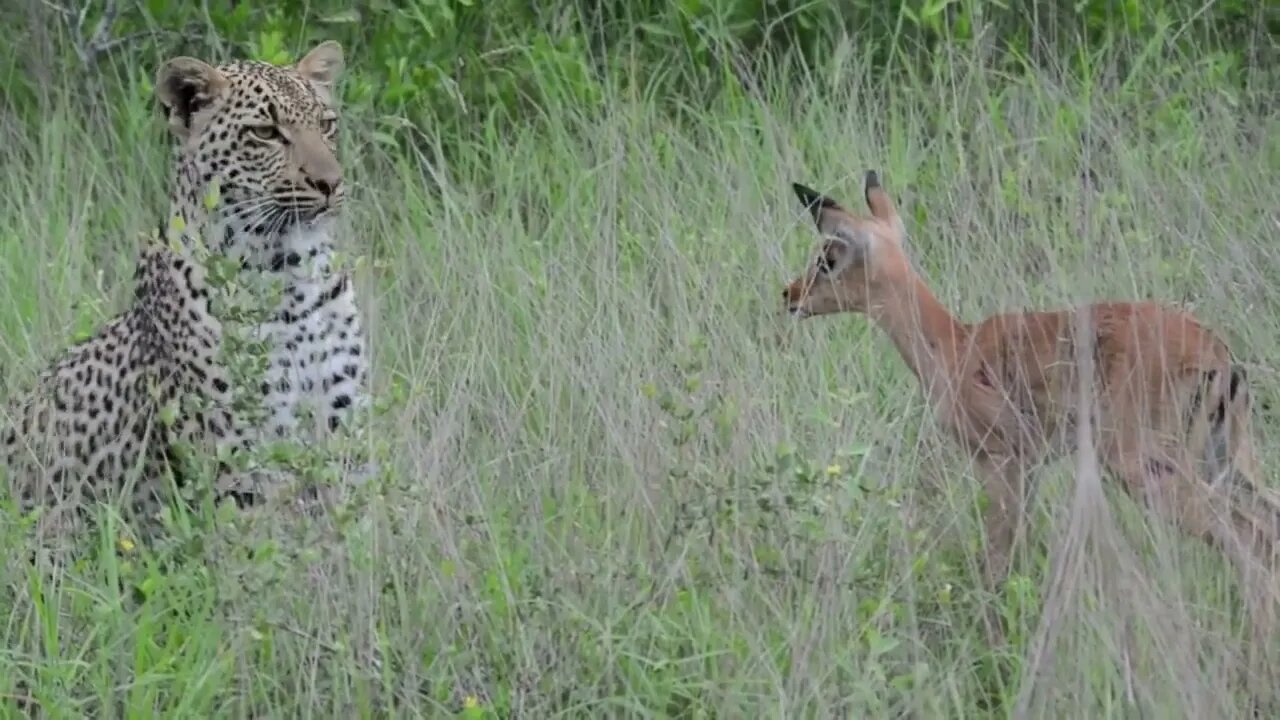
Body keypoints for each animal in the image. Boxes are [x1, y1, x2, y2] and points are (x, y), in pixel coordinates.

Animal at [1, 39, 371, 532]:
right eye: (265, 133)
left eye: (326, 125)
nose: (330, 182)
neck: (290, 276)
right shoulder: (239, 457)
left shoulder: (345, 425)